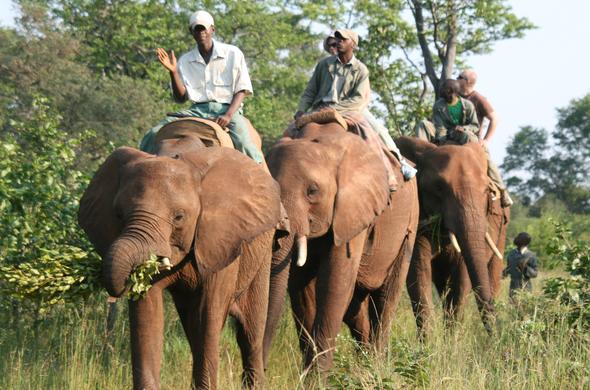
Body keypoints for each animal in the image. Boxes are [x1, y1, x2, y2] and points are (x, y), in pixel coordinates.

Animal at [77, 140, 284, 390]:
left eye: (179, 217)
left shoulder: (220, 239)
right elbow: (147, 315)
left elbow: (209, 314)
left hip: (261, 252)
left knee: (249, 332)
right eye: (118, 214)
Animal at [264, 122, 420, 374]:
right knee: (356, 308)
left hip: (410, 224)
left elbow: (334, 283)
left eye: (312, 191)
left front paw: (316, 379)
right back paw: (363, 368)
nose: (263, 372)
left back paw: (375, 368)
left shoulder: (353, 208)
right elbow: (301, 286)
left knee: (386, 299)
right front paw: (307, 375)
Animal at [398, 136, 512, 336]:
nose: (499, 338)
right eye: (439, 187)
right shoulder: (419, 215)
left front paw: (451, 340)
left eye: (487, 191)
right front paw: (428, 343)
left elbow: (461, 279)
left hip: (502, 234)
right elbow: (418, 272)